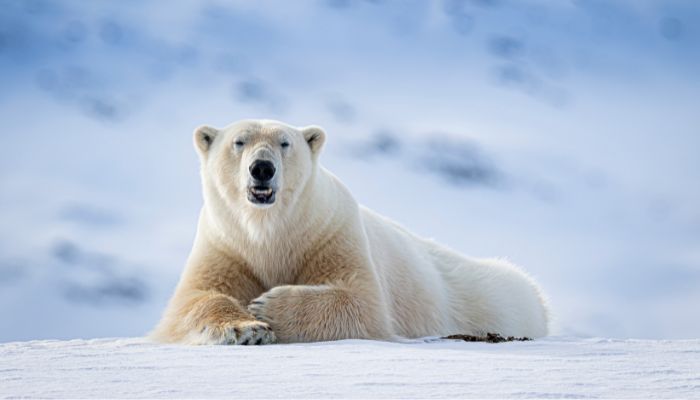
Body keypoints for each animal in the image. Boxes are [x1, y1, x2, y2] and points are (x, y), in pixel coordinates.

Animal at [150, 119, 549, 345]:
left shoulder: (330, 233)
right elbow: (194, 299)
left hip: (494, 300)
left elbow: (361, 302)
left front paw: (267, 307)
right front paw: (246, 329)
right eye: (239, 141)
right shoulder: (226, 244)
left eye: (285, 142)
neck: (271, 233)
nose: (262, 168)